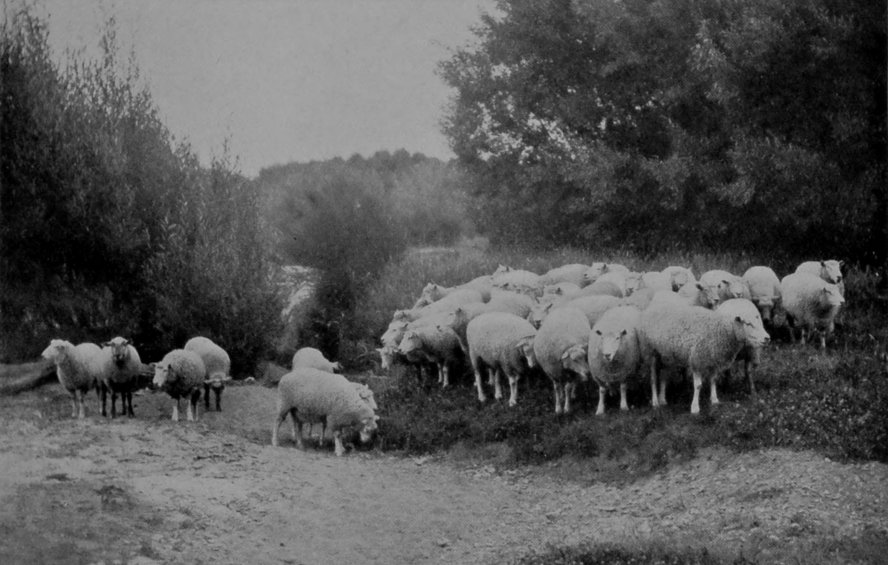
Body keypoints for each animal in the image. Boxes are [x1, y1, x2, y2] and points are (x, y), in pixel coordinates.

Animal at [638, 301, 769, 414]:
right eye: (748, 324)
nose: (767, 338)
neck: (723, 330)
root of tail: (652, 308)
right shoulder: (697, 360)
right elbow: (698, 385)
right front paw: (695, 408)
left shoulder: (714, 359)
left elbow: (713, 380)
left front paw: (714, 400)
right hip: (650, 352)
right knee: (653, 378)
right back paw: (655, 402)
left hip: (666, 355)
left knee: (664, 376)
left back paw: (662, 400)